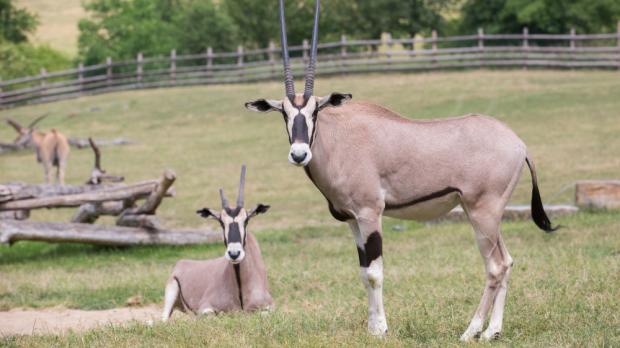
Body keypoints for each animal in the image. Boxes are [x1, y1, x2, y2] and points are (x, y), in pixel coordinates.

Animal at [162, 166, 274, 320]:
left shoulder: (269, 307)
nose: (234, 253)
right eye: (221, 222)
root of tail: (181, 263)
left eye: (246, 220)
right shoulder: (205, 308)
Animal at [245, 0, 560, 340]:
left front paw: (381, 329)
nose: (299, 153)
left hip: (483, 213)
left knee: (495, 266)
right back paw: (492, 332)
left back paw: (470, 332)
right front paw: (372, 327)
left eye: (316, 110)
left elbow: (374, 273)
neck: (339, 139)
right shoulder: (353, 221)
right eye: (284, 112)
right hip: (486, 213)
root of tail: (519, 144)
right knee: (507, 261)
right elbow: (362, 271)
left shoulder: (370, 213)